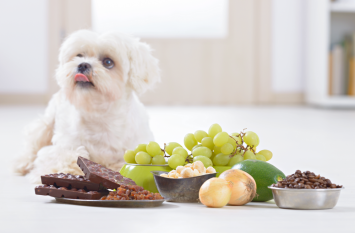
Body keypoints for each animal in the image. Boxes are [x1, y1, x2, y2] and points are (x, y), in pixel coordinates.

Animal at [13, 29, 161, 182]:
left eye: (108, 62)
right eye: (79, 55)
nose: (83, 64)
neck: (99, 115)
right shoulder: (62, 146)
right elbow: (63, 157)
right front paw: (67, 171)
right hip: (46, 124)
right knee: (32, 145)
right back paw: (22, 163)